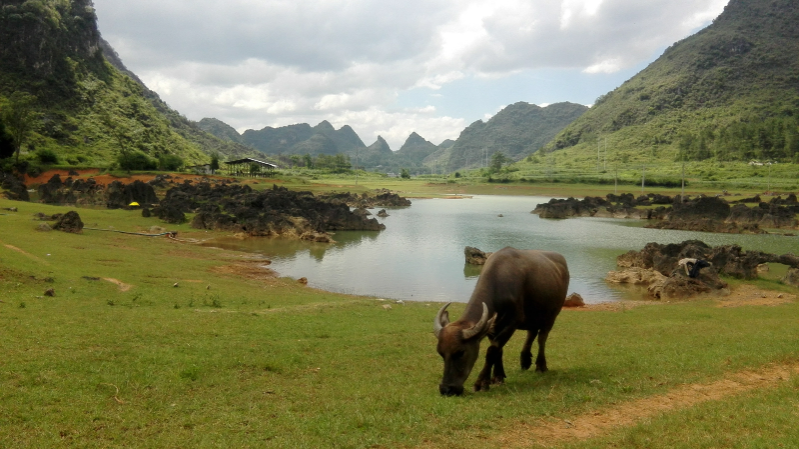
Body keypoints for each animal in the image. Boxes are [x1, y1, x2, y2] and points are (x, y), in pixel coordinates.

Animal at [438, 245, 568, 396]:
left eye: (460, 352)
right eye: (441, 353)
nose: (446, 389)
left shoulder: (511, 323)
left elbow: (492, 351)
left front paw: (482, 383)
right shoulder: (492, 327)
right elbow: (498, 350)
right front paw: (498, 377)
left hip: (551, 316)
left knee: (542, 338)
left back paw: (541, 366)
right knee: (531, 333)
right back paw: (525, 360)